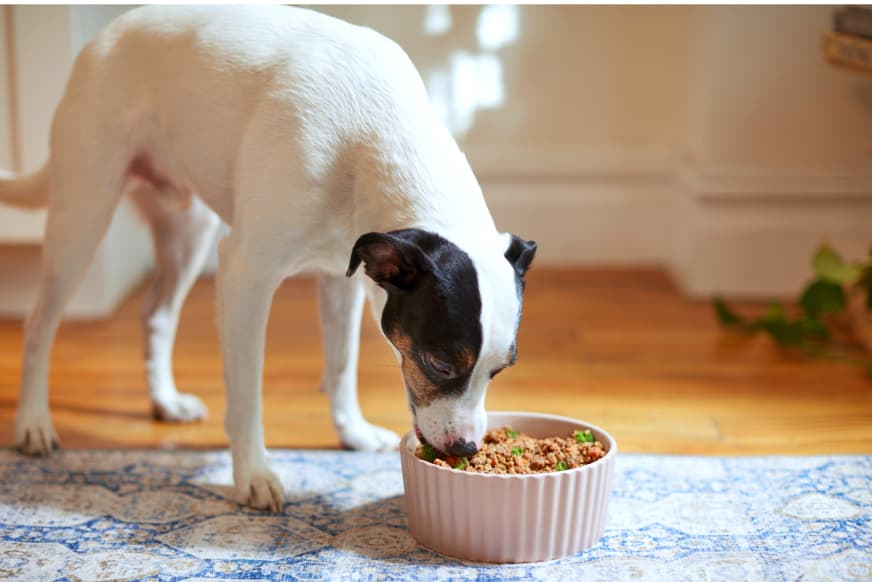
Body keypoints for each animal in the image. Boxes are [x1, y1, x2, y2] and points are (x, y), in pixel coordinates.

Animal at [0, 6, 536, 512]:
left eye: (500, 370)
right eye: (438, 363)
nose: (466, 448)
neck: (371, 139)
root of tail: (102, 39)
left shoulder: (342, 277)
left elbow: (341, 366)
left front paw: (352, 431)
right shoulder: (246, 274)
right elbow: (246, 396)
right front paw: (253, 474)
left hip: (188, 231)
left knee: (157, 314)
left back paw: (165, 401)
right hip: (82, 216)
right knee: (40, 325)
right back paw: (33, 423)